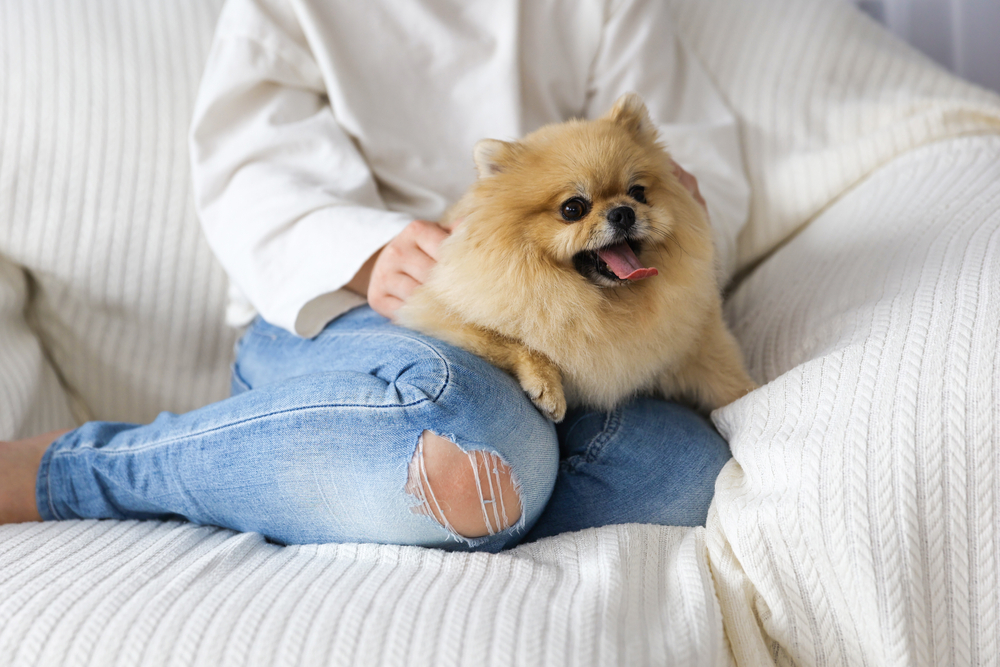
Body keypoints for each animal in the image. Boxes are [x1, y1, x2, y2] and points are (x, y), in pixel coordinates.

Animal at [394, 92, 752, 422]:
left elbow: (728, 380)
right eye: (573, 209)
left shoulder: (696, 341)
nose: (623, 212)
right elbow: (514, 342)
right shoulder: (438, 313)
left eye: (638, 193)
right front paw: (547, 386)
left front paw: (751, 401)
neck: (604, 301)